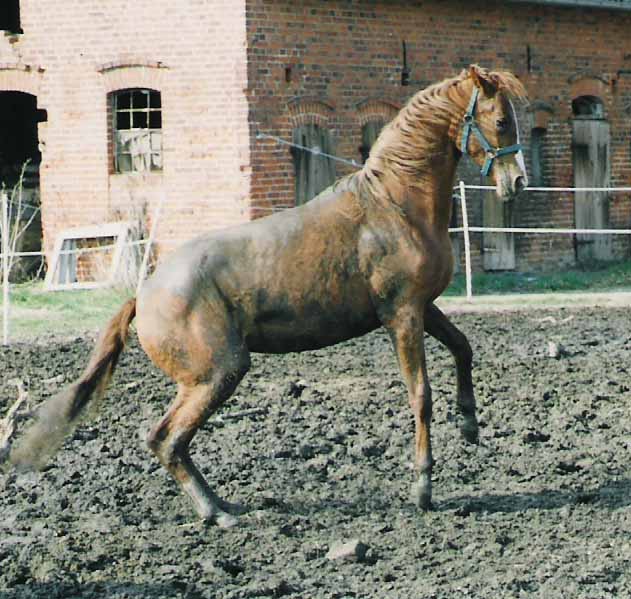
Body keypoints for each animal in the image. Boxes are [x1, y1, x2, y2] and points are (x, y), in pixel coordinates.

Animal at [13, 64, 528, 524]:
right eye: (501, 120)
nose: (517, 182)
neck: (394, 206)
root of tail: (145, 295)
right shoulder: (402, 315)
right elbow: (420, 394)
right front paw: (423, 486)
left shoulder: (424, 307)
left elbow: (463, 347)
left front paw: (470, 424)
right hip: (217, 374)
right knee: (164, 438)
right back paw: (217, 513)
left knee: (168, 441)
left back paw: (221, 506)